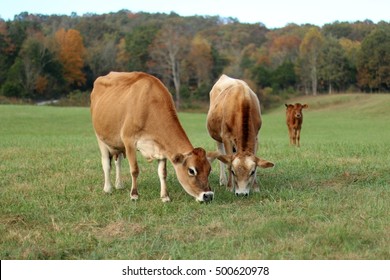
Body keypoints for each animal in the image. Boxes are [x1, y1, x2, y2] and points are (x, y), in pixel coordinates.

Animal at [90, 71, 215, 203]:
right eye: (191, 170)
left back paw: (119, 185)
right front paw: (134, 195)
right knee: (106, 163)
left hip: (117, 142)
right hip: (100, 138)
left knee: (118, 161)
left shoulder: (162, 147)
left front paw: (165, 196)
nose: (208, 195)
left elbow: (163, 173)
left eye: (209, 169)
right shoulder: (129, 141)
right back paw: (108, 188)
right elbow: (134, 169)